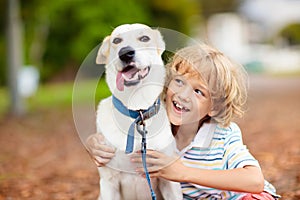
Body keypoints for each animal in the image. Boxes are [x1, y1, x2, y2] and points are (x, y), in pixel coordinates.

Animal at [95, 23, 182, 200]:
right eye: (116, 41)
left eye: (144, 38)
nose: (125, 53)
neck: (137, 110)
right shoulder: (109, 182)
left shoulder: (168, 178)